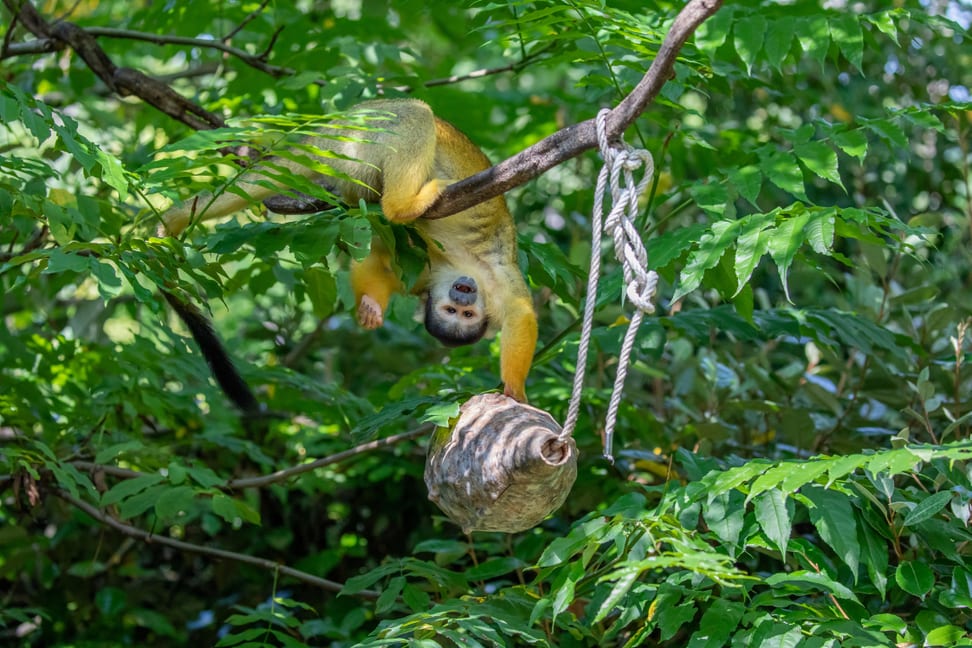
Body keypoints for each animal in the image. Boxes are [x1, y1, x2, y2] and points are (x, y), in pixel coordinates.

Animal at [162, 98, 536, 402]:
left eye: (467, 316)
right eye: (451, 311)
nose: (463, 293)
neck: (458, 269)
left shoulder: (431, 275)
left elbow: (381, 259)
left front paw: (370, 306)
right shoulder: (482, 278)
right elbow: (522, 314)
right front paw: (516, 390)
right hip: (359, 136)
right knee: (415, 115)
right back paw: (405, 205)